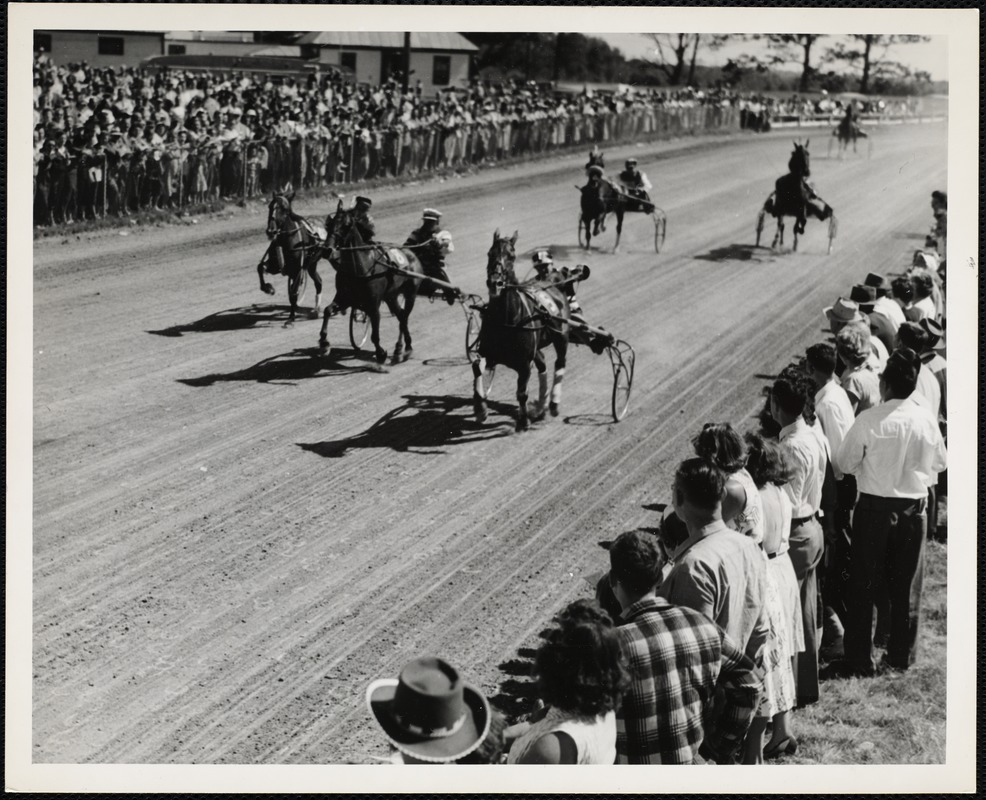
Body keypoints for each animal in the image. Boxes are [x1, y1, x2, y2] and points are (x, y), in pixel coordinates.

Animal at [260, 189, 324, 324]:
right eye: (270, 206)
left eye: (284, 208)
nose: (271, 231)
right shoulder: (275, 266)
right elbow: (260, 267)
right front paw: (268, 288)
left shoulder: (297, 269)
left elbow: (294, 292)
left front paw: (291, 317)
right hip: (311, 266)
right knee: (319, 281)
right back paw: (316, 309)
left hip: (310, 263)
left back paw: (315, 310)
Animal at [318, 198, 420, 364]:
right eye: (329, 224)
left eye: (346, 225)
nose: (327, 250)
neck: (361, 267)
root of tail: (411, 253)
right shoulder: (345, 298)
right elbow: (327, 311)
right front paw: (324, 343)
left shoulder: (373, 304)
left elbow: (375, 333)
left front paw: (381, 353)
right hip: (391, 296)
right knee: (401, 315)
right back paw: (402, 348)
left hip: (410, 294)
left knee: (404, 316)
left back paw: (406, 348)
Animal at [474, 230, 572, 432]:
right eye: (489, 253)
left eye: (511, 256)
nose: (495, 282)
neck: (507, 318)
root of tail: (553, 282)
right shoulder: (488, 352)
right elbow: (476, 367)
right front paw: (480, 409)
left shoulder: (525, 363)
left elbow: (521, 392)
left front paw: (523, 420)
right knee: (542, 364)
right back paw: (541, 407)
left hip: (561, 337)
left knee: (560, 362)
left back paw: (553, 404)